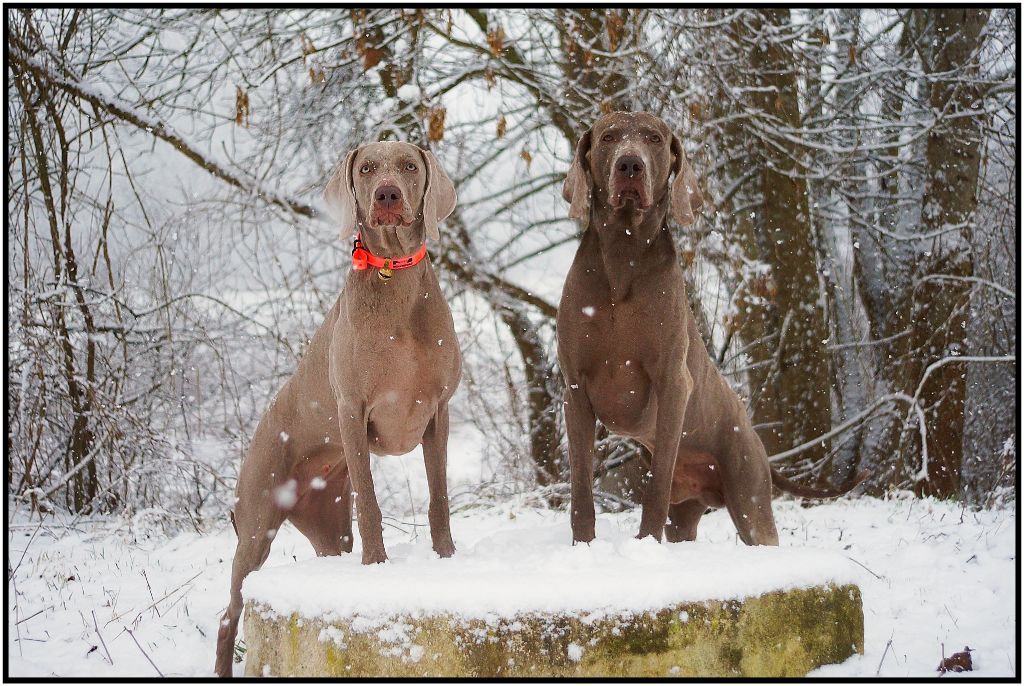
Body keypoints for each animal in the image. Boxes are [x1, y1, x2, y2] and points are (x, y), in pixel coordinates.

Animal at [214, 141, 462, 675]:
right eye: (367, 168)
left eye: (408, 166)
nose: (387, 194)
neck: (393, 276)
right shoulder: (352, 409)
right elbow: (369, 499)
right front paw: (376, 568)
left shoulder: (438, 411)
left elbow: (438, 497)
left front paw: (447, 557)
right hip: (256, 525)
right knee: (229, 614)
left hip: (327, 524)